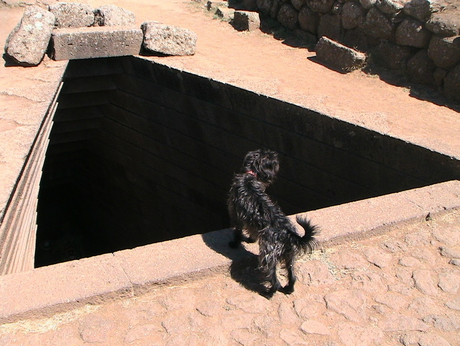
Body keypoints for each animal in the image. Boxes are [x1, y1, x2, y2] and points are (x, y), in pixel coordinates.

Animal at [228, 149, 318, 298]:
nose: (275, 155)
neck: (250, 176)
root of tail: (288, 234)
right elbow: (252, 232)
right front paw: (250, 240)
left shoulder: (236, 215)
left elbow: (237, 232)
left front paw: (234, 244)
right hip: (289, 256)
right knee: (292, 276)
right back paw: (288, 289)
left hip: (268, 255)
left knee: (274, 280)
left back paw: (268, 293)